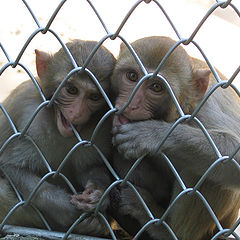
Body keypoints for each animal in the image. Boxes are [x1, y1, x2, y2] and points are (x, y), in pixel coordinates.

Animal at [0, 39, 116, 236]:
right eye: (71, 89)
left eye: (94, 96)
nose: (77, 114)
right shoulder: (30, 120)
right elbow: (12, 167)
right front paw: (65, 209)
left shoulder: (99, 127)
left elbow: (90, 166)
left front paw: (97, 194)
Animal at [110, 36, 240, 240]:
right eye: (132, 76)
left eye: (156, 87)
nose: (131, 105)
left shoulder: (207, 107)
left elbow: (231, 154)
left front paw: (151, 134)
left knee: (209, 173)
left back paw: (164, 228)